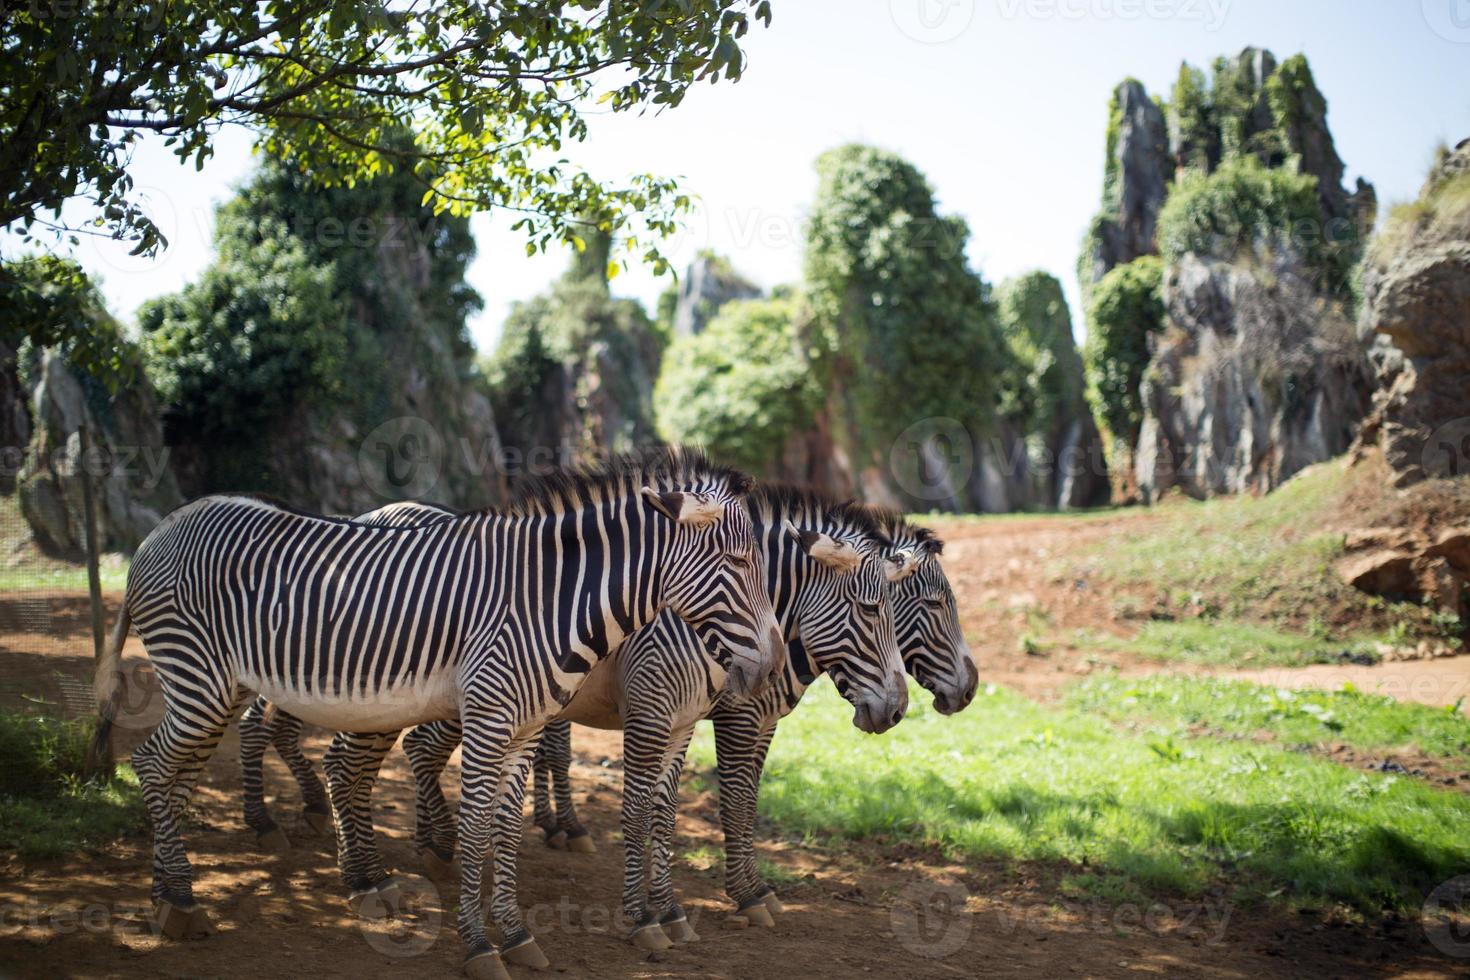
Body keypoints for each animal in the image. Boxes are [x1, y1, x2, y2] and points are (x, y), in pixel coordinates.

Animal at [91, 452, 787, 980]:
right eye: (739, 563)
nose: (777, 665)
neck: (548, 599)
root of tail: (163, 527)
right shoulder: (489, 716)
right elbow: (477, 828)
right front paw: (478, 945)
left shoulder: (525, 729)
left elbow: (506, 830)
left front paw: (516, 935)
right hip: (197, 676)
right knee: (150, 763)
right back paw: (182, 899)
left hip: (220, 687)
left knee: (176, 774)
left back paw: (166, 894)